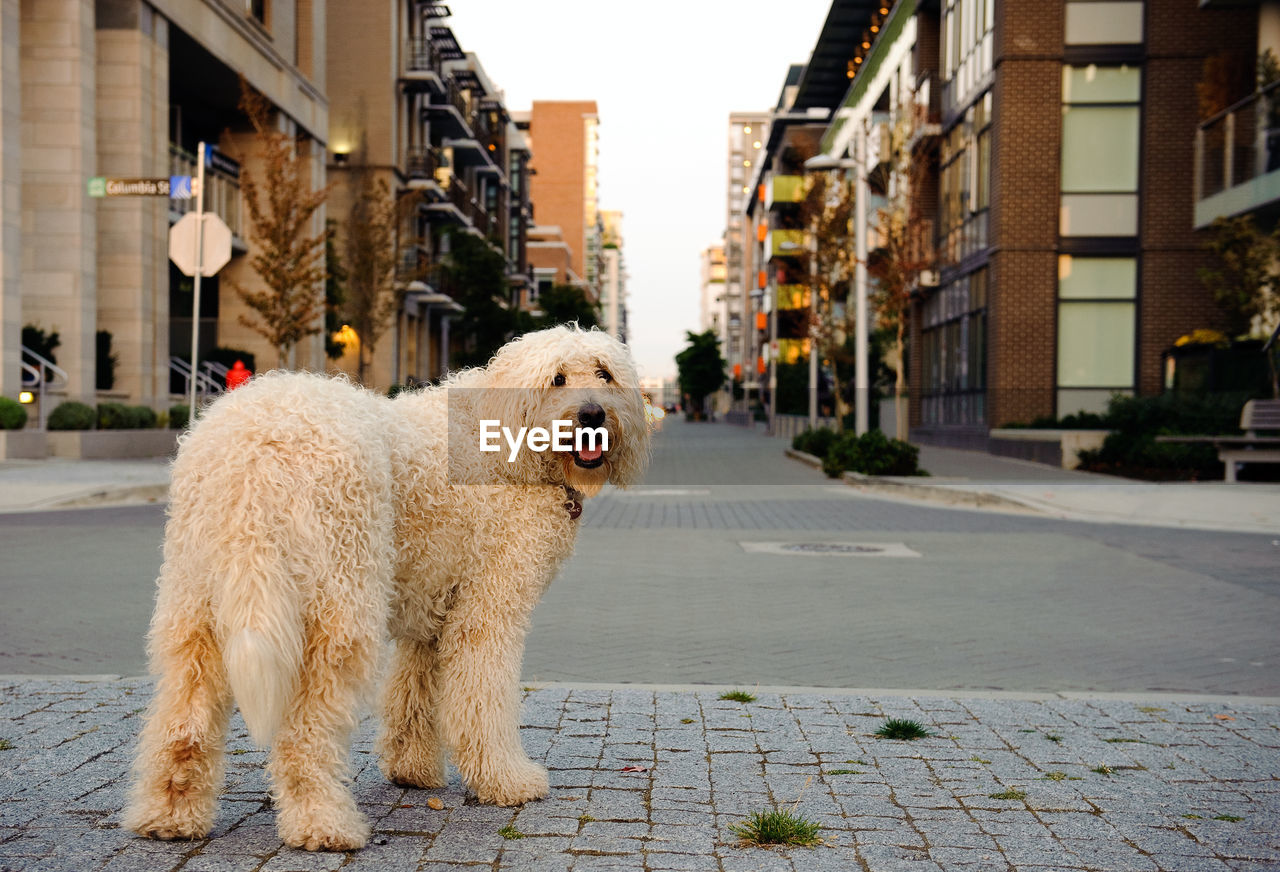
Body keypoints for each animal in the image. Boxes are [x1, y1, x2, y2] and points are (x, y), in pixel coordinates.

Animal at [124, 326, 650, 850]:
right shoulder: (487, 608)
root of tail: (255, 448)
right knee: (305, 727)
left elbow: (413, 692)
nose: (592, 414)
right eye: (557, 378)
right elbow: (482, 700)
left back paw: (170, 814)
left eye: (604, 372)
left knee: (183, 711)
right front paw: (506, 780)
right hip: (340, 603)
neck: (505, 439)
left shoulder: (434, 607)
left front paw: (410, 769)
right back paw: (322, 823)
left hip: (196, 598)